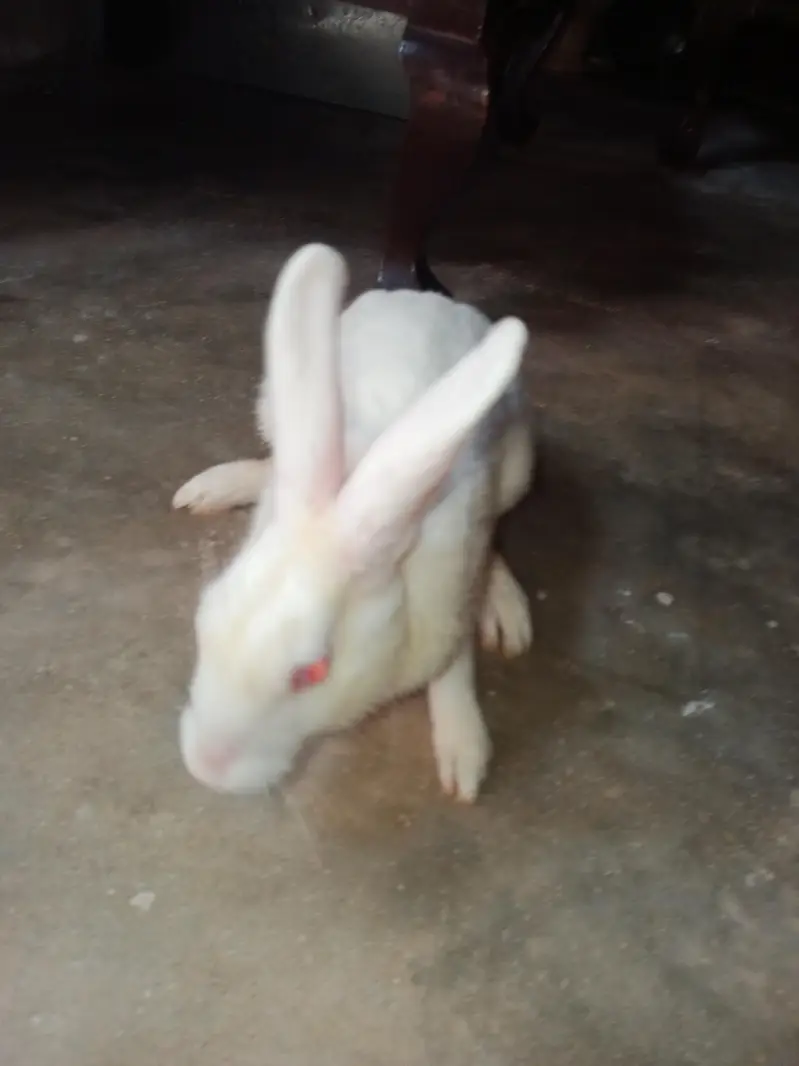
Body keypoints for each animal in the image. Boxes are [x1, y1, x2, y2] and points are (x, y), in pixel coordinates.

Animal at [172, 243, 535, 802]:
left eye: (312, 672)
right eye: (204, 621)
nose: (203, 767)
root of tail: (416, 295)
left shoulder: (452, 594)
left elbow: (454, 670)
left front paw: (463, 755)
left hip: (517, 467)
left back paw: (506, 607)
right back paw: (216, 485)